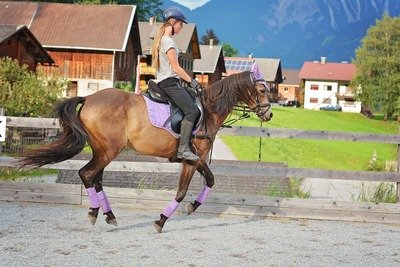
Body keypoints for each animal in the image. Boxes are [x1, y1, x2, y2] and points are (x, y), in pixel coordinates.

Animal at [15, 68, 272, 232]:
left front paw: (193, 207)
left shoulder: (197, 158)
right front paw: (161, 221)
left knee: (96, 179)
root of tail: (89, 98)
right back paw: (94, 212)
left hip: (102, 150)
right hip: (109, 151)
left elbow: (210, 180)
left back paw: (108, 216)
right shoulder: (190, 160)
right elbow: (181, 192)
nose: (269, 114)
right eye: (261, 90)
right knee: (86, 174)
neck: (209, 110)